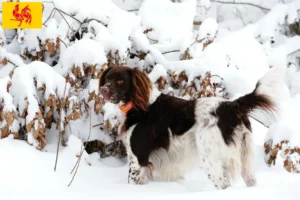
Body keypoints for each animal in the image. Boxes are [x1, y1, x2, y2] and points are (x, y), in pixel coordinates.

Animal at [99, 65, 282, 189]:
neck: (140, 106)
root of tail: (231, 106)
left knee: (223, 184)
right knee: (250, 180)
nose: (104, 91)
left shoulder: (138, 159)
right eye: (108, 79)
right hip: (245, 157)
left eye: (120, 80)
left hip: (210, 158)